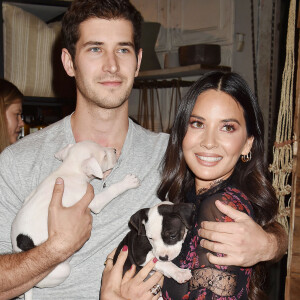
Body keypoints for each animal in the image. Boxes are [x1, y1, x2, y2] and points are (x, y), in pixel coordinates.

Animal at [10, 139, 139, 298]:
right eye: (104, 155)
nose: (115, 150)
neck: (70, 169)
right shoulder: (94, 201)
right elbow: (111, 190)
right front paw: (128, 182)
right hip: (62, 271)